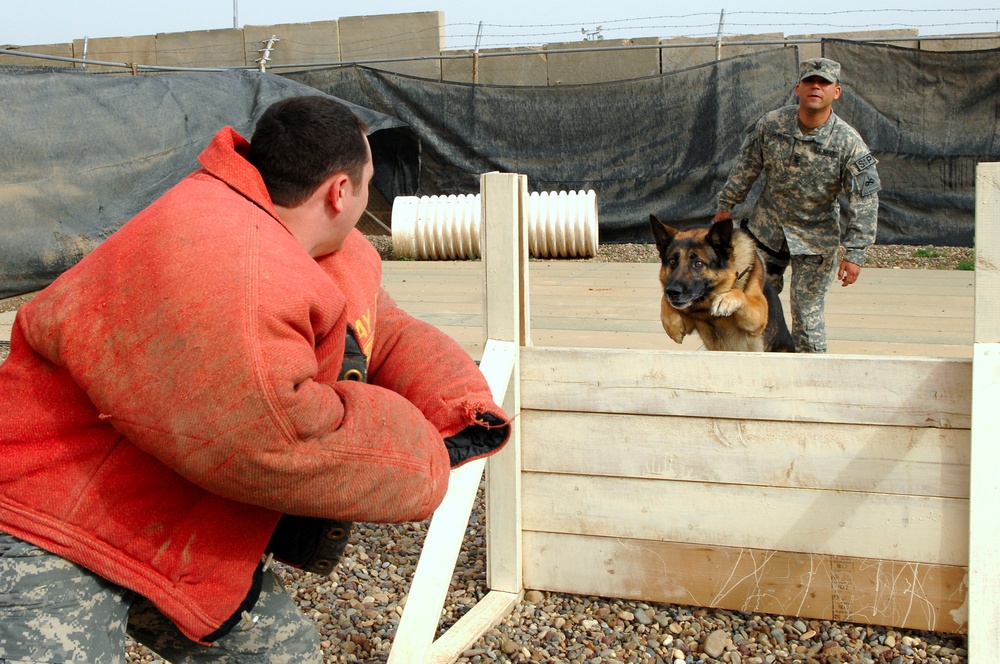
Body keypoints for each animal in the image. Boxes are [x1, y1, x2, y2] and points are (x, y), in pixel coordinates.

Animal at [648, 217, 796, 352]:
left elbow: (741, 294)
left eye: (698, 263)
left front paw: (726, 300)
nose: (673, 292)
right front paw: (672, 326)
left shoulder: (759, 315)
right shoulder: (688, 320)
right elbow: (664, 300)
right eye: (672, 262)